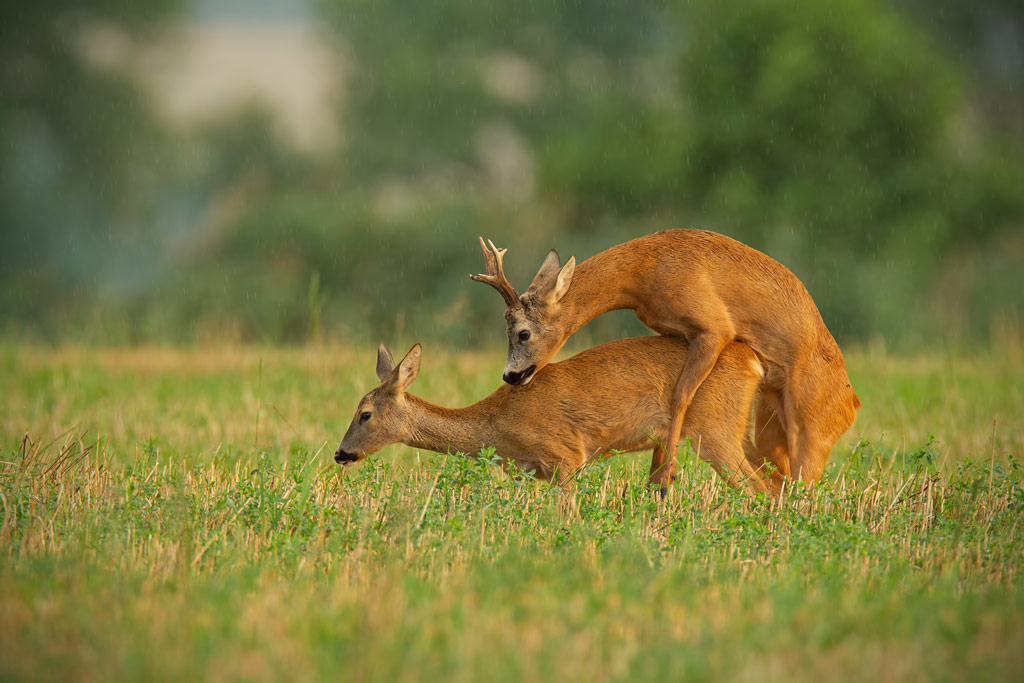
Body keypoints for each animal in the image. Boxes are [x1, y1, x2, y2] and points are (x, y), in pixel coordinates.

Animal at [334, 337, 782, 494]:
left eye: (365, 414)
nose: (340, 453)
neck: (497, 426)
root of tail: (753, 361)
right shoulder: (531, 471)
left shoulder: (566, 453)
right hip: (738, 429)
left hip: (714, 430)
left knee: (760, 488)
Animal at [469, 230, 860, 491]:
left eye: (522, 333)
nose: (510, 376)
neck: (644, 273)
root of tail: (852, 401)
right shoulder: (676, 333)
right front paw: (658, 472)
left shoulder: (713, 327)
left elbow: (680, 394)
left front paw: (663, 477)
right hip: (768, 428)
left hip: (811, 429)